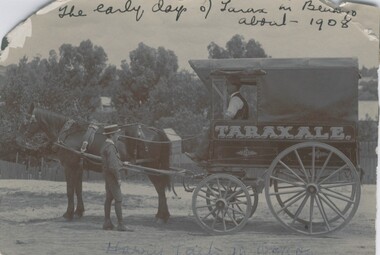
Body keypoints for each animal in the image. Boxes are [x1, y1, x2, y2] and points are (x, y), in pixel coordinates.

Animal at [19, 103, 171, 223]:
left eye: (27, 122)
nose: (21, 139)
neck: (69, 133)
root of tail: (155, 130)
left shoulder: (69, 166)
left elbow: (69, 190)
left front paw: (68, 213)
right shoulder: (78, 167)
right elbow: (78, 190)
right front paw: (79, 211)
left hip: (150, 166)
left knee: (160, 189)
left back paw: (161, 216)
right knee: (161, 189)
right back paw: (163, 214)